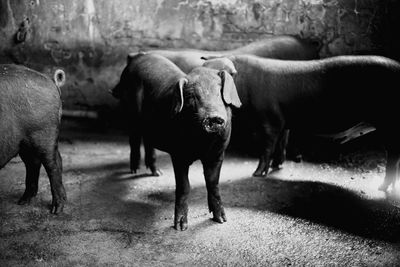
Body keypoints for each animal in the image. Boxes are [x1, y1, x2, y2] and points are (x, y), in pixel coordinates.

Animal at [0, 64, 66, 214]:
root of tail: (51, 80)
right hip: (25, 142)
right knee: (34, 163)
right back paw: (22, 201)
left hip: (43, 132)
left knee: (52, 164)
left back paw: (56, 210)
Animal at [111, 54, 241, 230]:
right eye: (192, 96)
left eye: (219, 92)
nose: (213, 117)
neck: (203, 143)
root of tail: (138, 58)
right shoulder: (178, 155)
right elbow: (184, 186)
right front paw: (180, 227)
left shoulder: (218, 153)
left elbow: (213, 184)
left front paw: (221, 219)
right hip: (130, 112)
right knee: (134, 138)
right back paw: (134, 171)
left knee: (148, 142)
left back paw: (157, 173)